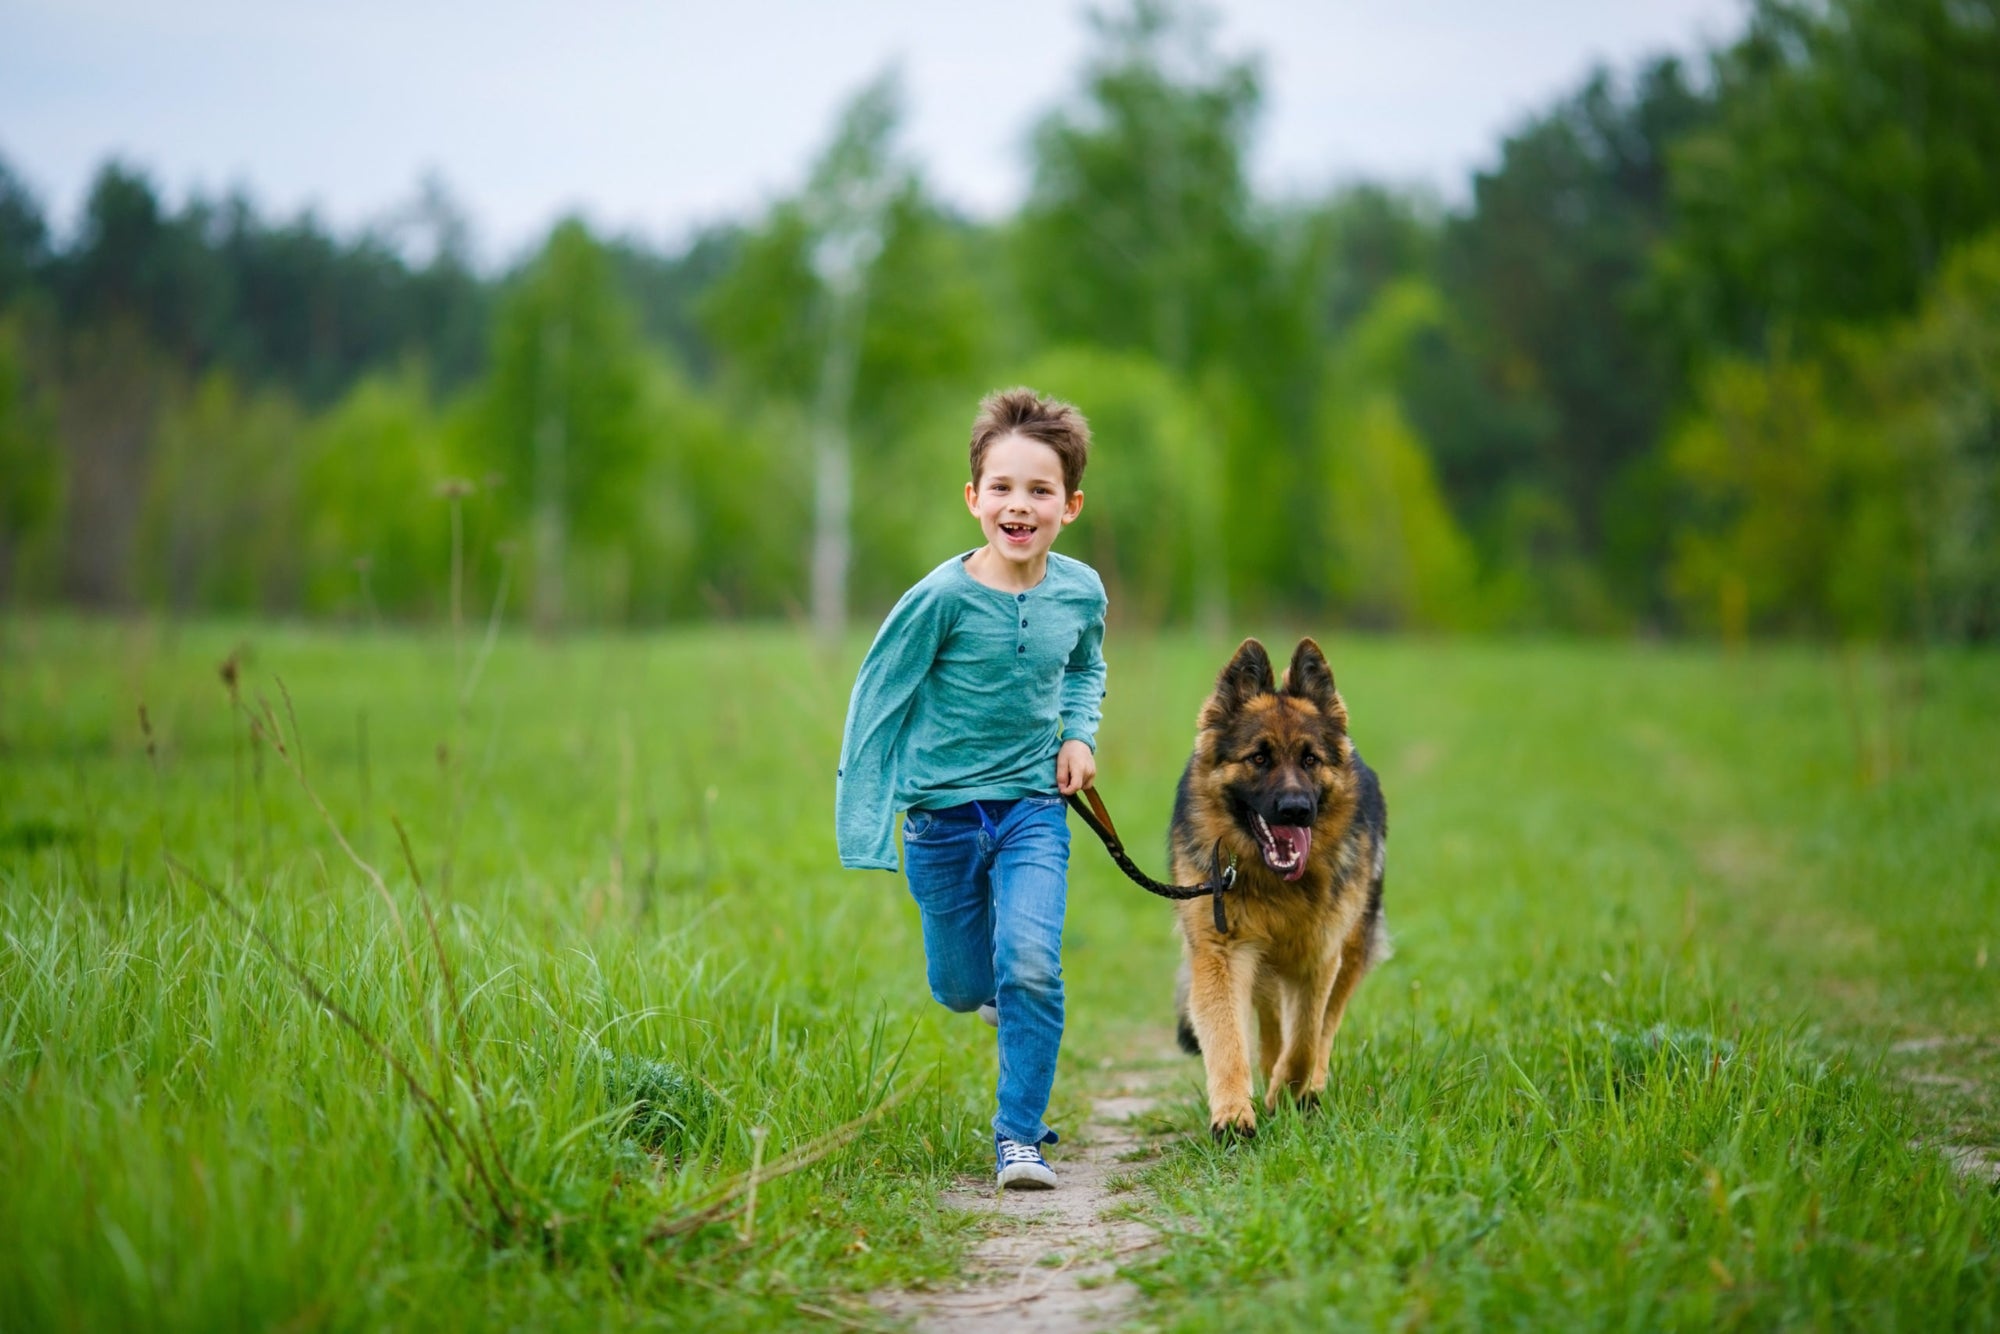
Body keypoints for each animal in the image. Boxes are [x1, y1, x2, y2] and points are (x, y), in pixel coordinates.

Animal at [1168, 640, 1392, 1136]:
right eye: (1259, 758)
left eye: (1310, 760)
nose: (1295, 809)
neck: (1276, 883)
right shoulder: (1222, 953)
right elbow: (1227, 1039)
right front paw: (1234, 1115)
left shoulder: (1320, 956)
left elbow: (1307, 1038)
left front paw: (1286, 1093)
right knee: (1270, 1028)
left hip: (1350, 950)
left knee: (1324, 1027)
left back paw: (1309, 1092)